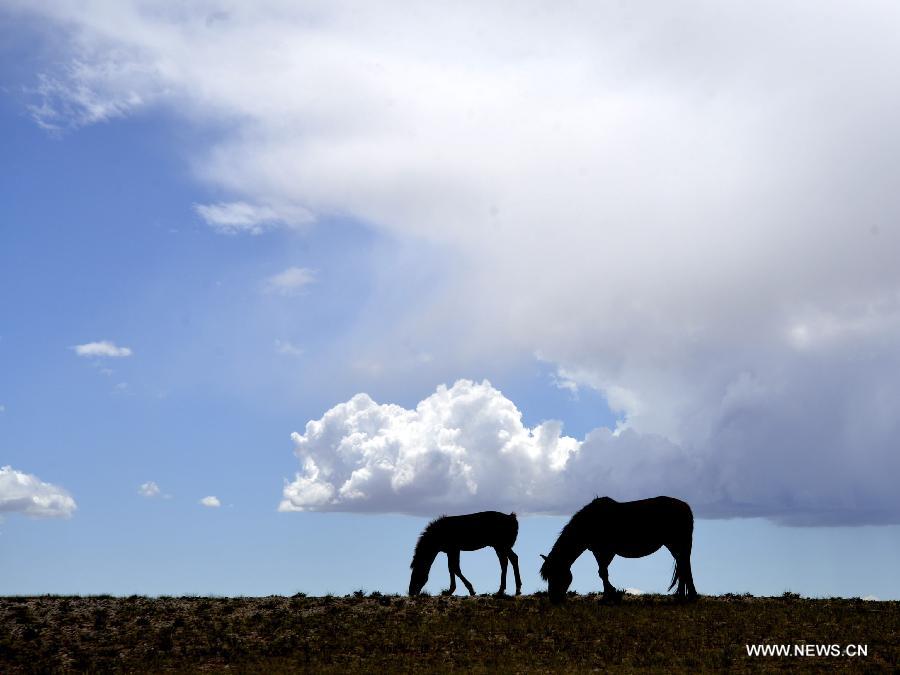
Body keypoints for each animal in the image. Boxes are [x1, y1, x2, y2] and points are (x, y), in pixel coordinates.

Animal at [536, 496, 700, 604]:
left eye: (556, 574)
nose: (554, 599)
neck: (589, 522)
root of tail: (685, 507)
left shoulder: (604, 551)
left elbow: (603, 572)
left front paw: (610, 595)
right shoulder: (599, 552)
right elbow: (603, 572)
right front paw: (609, 594)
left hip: (676, 544)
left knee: (684, 566)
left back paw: (688, 596)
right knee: (683, 566)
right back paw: (682, 595)